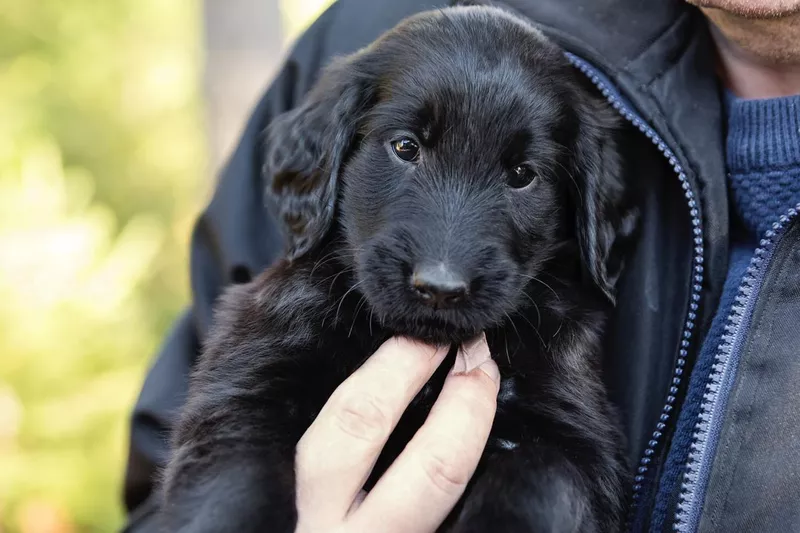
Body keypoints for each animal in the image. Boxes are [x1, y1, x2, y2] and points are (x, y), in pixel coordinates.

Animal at [161, 5, 636, 532]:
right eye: (406, 147)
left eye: (522, 175)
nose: (441, 287)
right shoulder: (248, 378)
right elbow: (233, 480)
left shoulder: (571, 435)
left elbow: (537, 485)